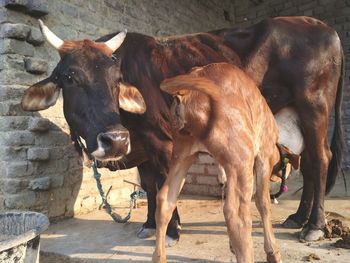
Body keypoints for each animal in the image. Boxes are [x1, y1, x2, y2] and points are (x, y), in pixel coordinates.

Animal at [152, 63, 282, 263]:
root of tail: (188, 93)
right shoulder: (263, 156)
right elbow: (263, 203)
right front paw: (273, 252)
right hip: (242, 159)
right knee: (236, 215)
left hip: (182, 155)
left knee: (164, 200)